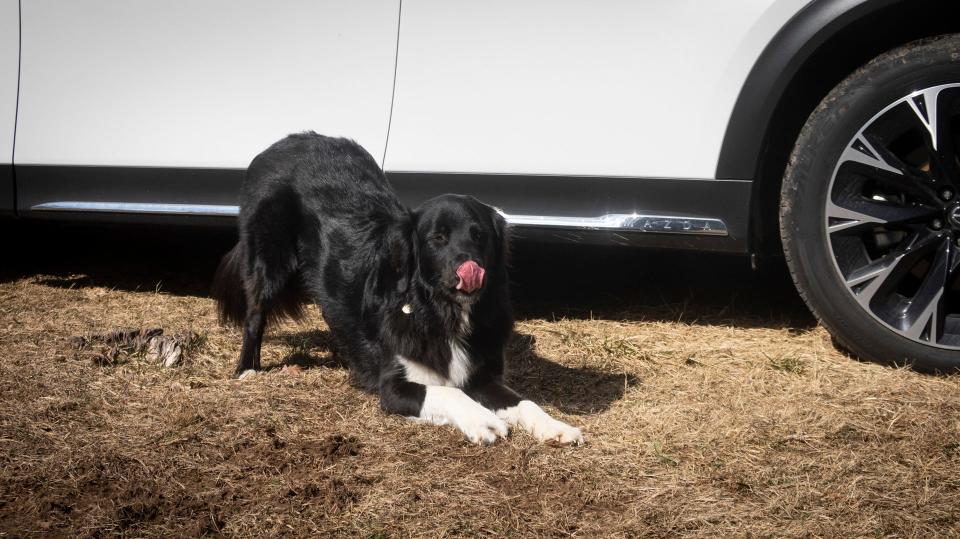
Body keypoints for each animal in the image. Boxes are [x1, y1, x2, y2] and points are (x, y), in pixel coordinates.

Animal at [213, 133, 580, 446]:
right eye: (437, 238)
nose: (470, 269)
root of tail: (285, 141)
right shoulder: (394, 386)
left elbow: (525, 402)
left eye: (480, 235)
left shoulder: (483, 375)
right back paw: (247, 370)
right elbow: (449, 392)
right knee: (255, 315)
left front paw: (556, 426)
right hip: (269, 259)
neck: (440, 310)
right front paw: (484, 421)